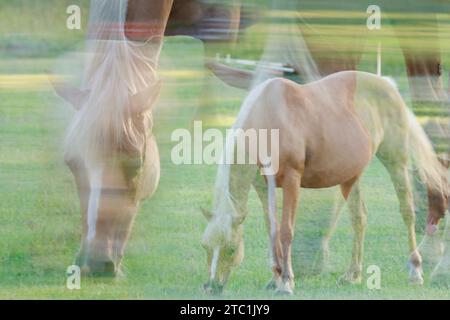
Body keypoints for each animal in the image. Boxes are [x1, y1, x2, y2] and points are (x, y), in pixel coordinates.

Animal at [202, 70, 448, 296]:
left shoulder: (292, 180)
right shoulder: (263, 186)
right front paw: (275, 278)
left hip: (396, 162)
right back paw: (352, 274)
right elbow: (271, 229)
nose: (211, 286)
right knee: (359, 218)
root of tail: (386, 84)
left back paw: (415, 271)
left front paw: (286, 282)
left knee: (407, 212)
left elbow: (286, 231)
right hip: (351, 177)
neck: (269, 116)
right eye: (206, 246)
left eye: (230, 249)